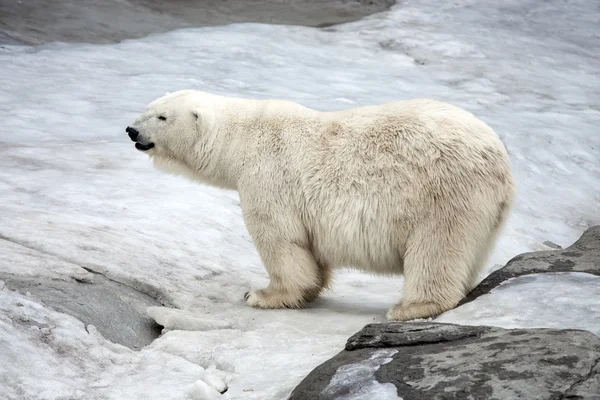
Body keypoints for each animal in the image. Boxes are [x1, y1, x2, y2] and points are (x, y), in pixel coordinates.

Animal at [125, 89, 516, 320]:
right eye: (148, 108)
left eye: (161, 117)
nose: (131, 130)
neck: (243, 137)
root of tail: (500, 159)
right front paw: (308, 290)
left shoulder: (268, 176)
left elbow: (281, 238)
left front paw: (263, 294)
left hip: (443, 192)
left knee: (436, 247)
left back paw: (410, 307)